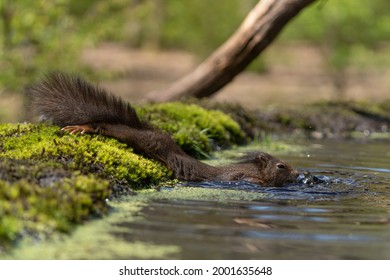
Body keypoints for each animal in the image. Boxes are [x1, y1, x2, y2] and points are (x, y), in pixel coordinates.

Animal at [27, 72, 298, 186]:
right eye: (281, 166)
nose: (298, 174)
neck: (250, 168)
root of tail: (154, 131)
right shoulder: (240, 178)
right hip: (140, 139)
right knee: (110, 127)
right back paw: (83, 127)